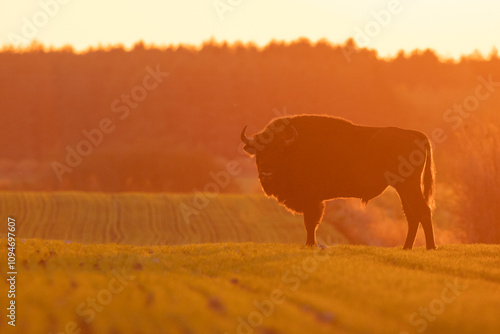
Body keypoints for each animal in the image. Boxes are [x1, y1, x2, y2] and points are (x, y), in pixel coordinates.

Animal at [240, 114, 436, 248]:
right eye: (258, 153)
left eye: (278, 151)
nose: (266, 174)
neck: (293, 148)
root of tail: (416, 135)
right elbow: (311, 223)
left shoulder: (311, 199)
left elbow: (310, 222)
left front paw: (310, 244)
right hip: (403, 188)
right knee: (412, 216)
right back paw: (406, 248)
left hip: (408, 186)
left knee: (423, 212)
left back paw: (430, 247)